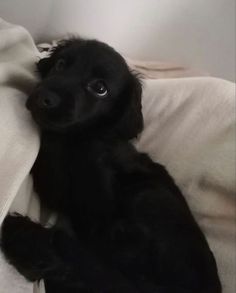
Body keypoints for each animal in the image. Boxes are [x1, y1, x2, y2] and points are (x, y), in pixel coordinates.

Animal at [0, 38, 221, 292]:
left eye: (100, 88)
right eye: (61, 64)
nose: (44, 98)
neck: (77, 137)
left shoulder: (96, 190)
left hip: (146, 196)